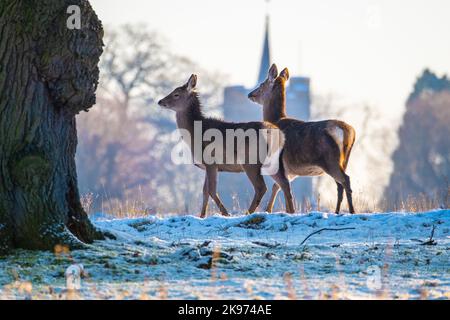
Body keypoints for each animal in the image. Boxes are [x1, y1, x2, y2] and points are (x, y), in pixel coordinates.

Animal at [159, 73, 284, 218]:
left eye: (176, 94)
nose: (160, 101)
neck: (196, 133)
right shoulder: (208, 166)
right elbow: (205, 192)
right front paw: (202, 216)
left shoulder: (211, 162)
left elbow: (212, 190)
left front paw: (225, 213)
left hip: (250, 161)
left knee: (261, 187)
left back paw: (248, 213)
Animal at [248, 63, 356, 214]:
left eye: (261, 84)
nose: (250, 94)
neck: (276, 120)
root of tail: (347, 131)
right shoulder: (290, 170)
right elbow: (278, 187)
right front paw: (273, 210)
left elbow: (279, 187)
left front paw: (272, 210)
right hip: (344, 160)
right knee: (340, 184)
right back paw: (337, 211)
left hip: (330, 159)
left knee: (345, 180)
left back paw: (351, 211)